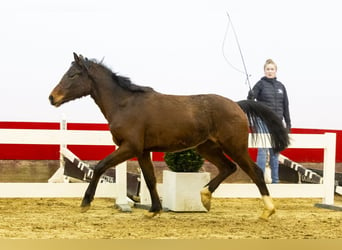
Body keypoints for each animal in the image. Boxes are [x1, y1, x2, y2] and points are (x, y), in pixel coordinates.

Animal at [48, 52, 288, 219]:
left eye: (73, 75)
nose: (52, 98)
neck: (125, 104)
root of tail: (237, 105)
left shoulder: (129, 147)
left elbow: (99, 166)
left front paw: (85, 203)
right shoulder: (143, 151)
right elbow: (150, 179)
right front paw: (154, 210)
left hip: (235, 147)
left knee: (255, 171)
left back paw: (268, 210)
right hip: (206, 147)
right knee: (228, 168)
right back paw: (205, 198)